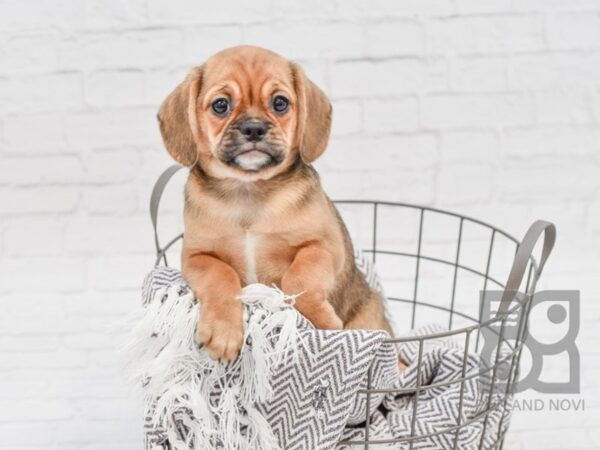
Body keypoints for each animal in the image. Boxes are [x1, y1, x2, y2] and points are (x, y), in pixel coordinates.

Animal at [158, 46, 394, 362]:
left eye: (280, 103)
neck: (249, 191)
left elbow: (299, 278)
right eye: (221, 105)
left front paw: (319, 319)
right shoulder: (197, 256)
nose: (253, 128)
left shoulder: (323, 246)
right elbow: (220, 276)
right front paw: (223, 330)